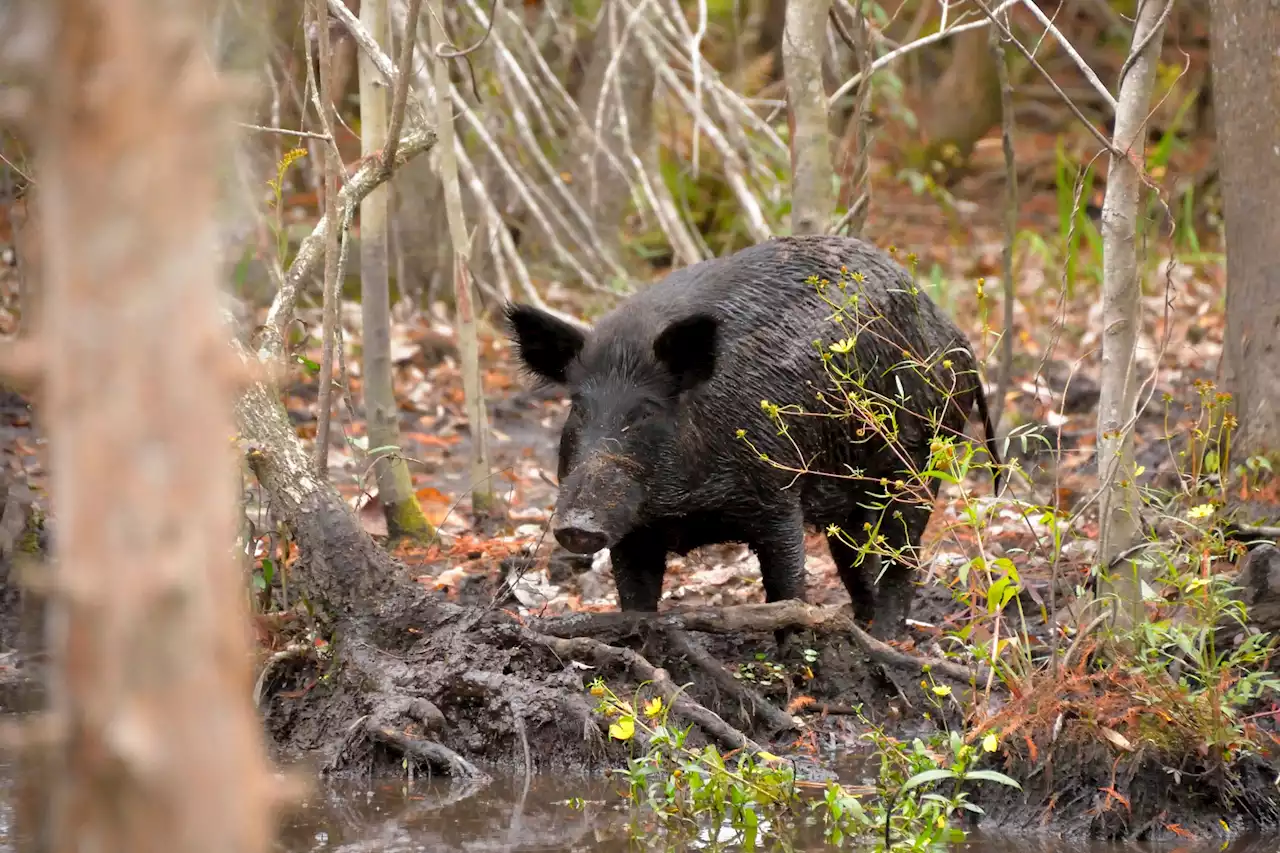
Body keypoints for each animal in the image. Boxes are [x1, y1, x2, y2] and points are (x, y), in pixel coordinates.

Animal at [504, 235, 1003, 635]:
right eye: (578, 405)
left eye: (645, 410)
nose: (576, 526)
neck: (688, 509)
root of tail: (956, 337)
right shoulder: (634, 527)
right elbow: (636, 601)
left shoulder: (776, 494)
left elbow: (787, 589)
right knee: (856, 555)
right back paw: (861, 623)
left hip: (921, 458)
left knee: (904, 552)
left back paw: (884, 638)